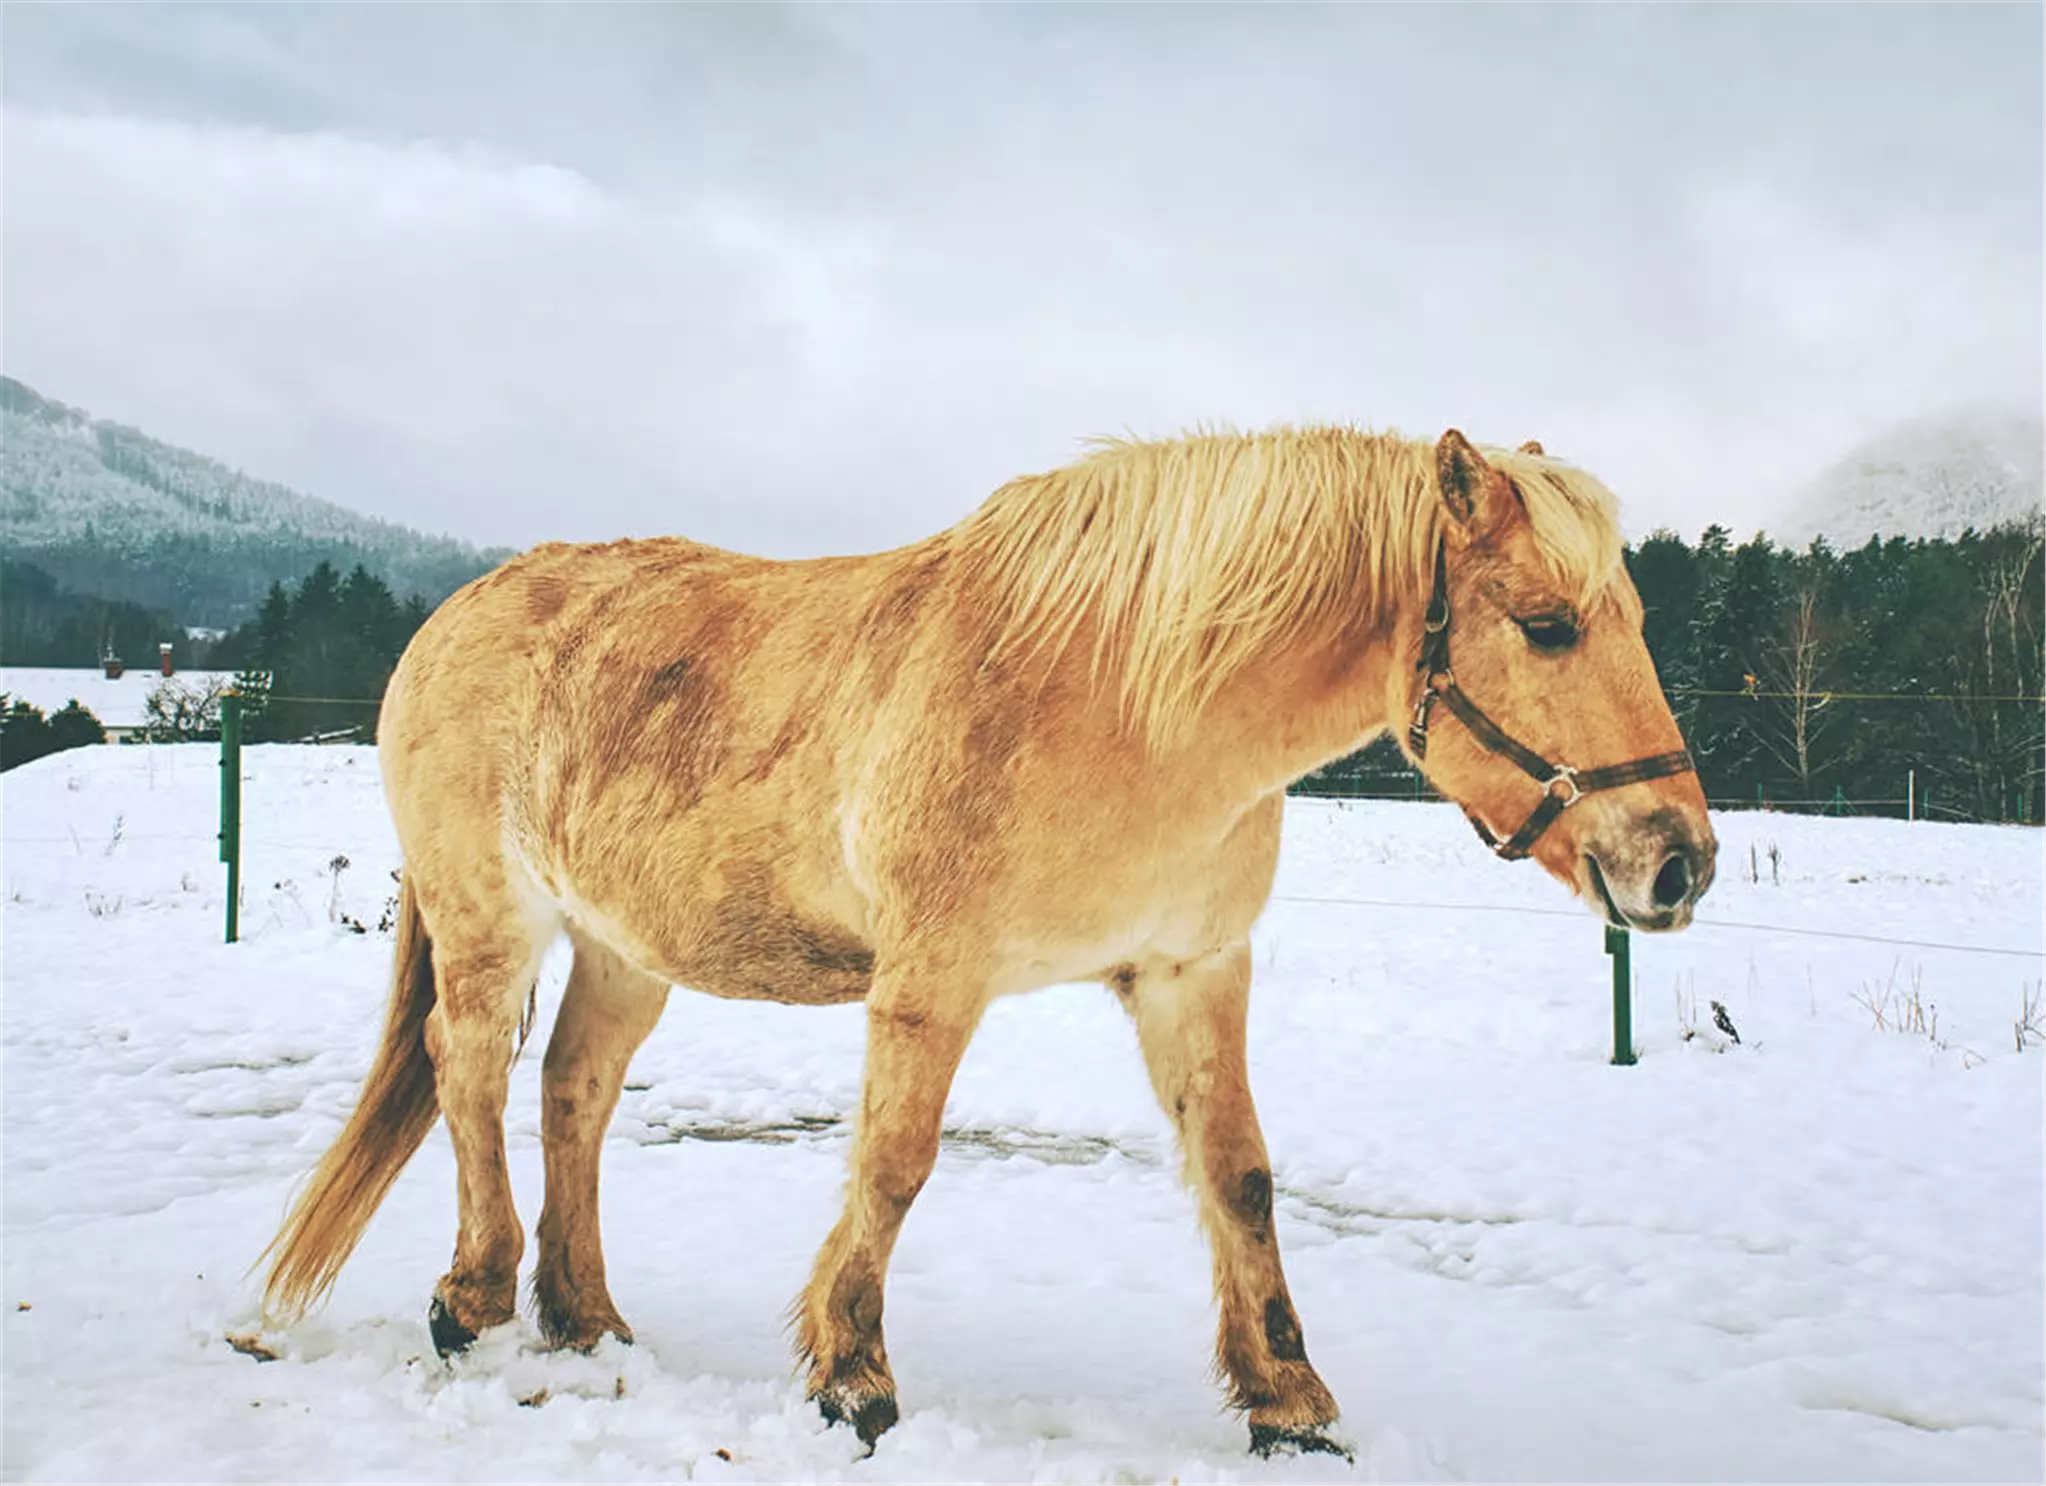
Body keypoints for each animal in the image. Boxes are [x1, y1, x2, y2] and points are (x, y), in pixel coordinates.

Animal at [259, 425, 1726, 1457]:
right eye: (1546, 626)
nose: (1679, 861)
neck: (1130, 702)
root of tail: (456, 612)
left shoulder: (1190, 974)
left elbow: (1240, 1176)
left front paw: (1288, 1398)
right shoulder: (933, 979)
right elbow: (896, 1165)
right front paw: (852, 1376)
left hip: (626, 944)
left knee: (574, 1090)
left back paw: (586, 1322)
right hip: (489, 917)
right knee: (470, 1071)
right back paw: (474, 1299)